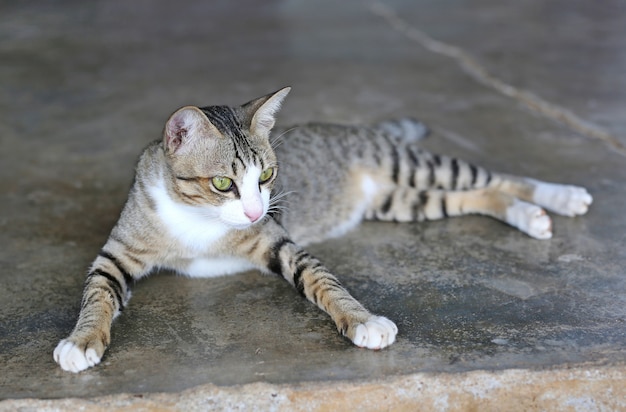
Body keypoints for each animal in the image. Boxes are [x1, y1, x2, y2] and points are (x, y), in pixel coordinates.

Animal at [52, 87, 588, 374]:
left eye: (267, 175)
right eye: (223, 183)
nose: (253, 211)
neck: (199, 221)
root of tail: (363, 128)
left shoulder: (278, 239)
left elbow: (322, 280)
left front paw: (363, 321)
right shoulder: (117, 252)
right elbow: (97, 293)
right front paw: (82, 340)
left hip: (410, 165)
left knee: (494, 177)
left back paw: (559, 197)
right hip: (399, 201)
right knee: (476, 195)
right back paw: (529, 214)